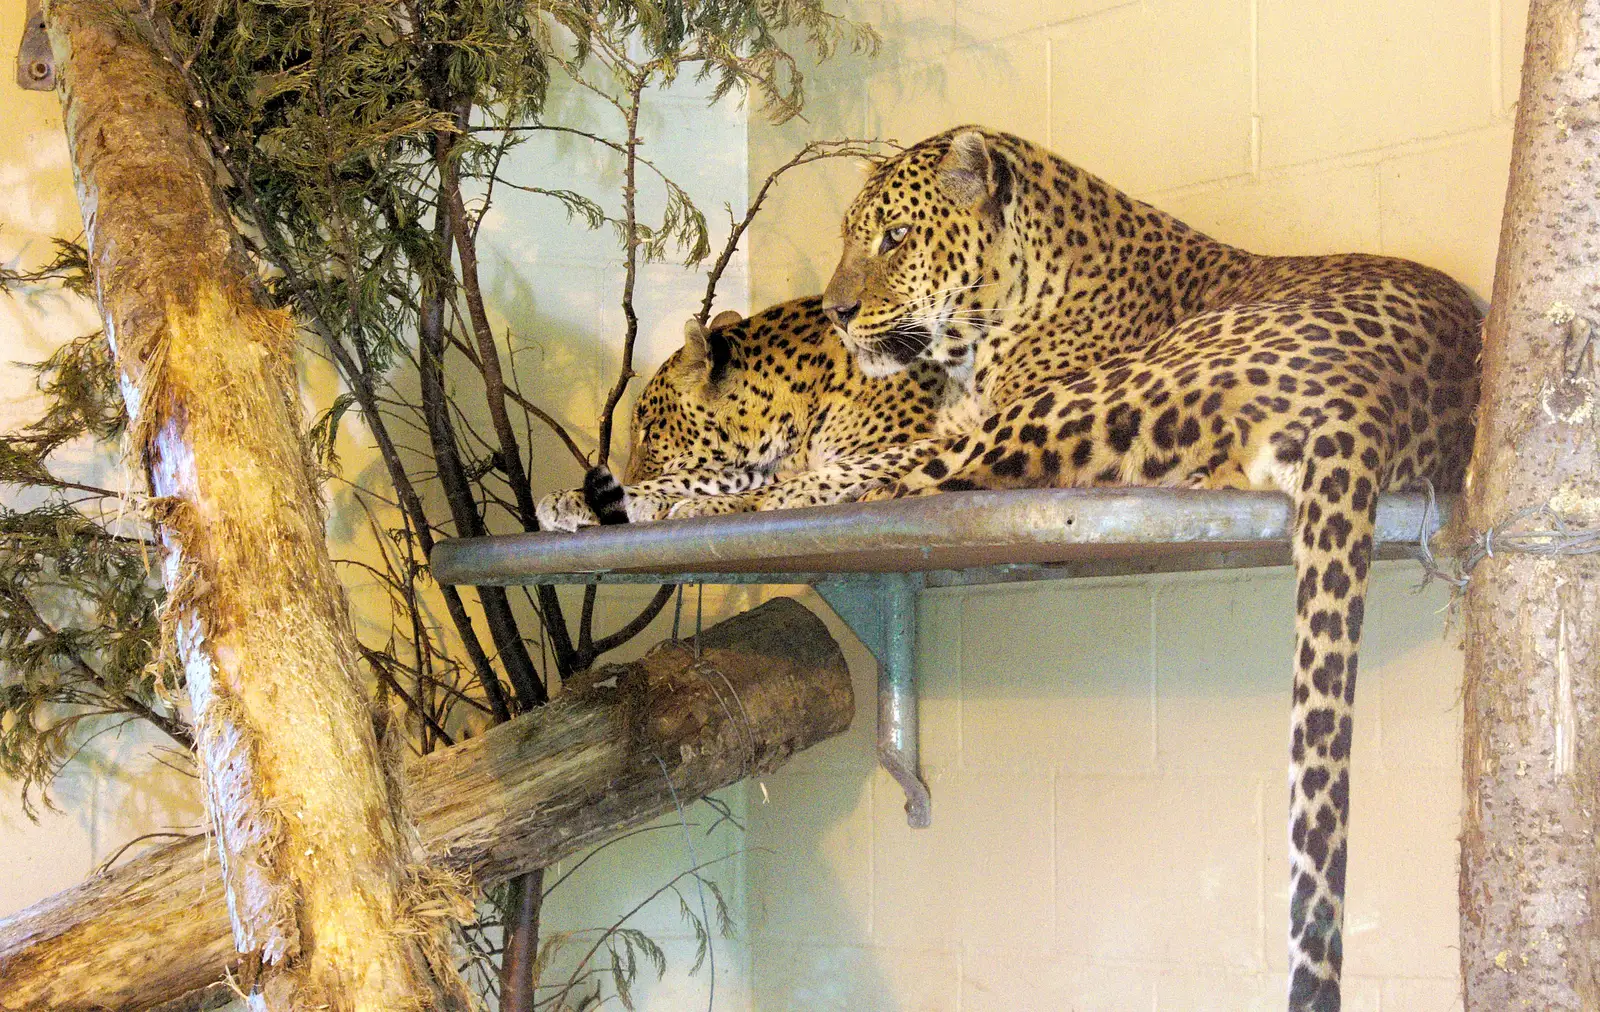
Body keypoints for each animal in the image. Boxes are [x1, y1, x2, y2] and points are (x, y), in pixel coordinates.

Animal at [819, 128, 1478, 1012]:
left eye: (895, 237)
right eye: (850, 236)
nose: (835, 313)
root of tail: (1377, 396)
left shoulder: (999, 414)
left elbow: (883, 463)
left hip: (1100, 392)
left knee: (914, 477)